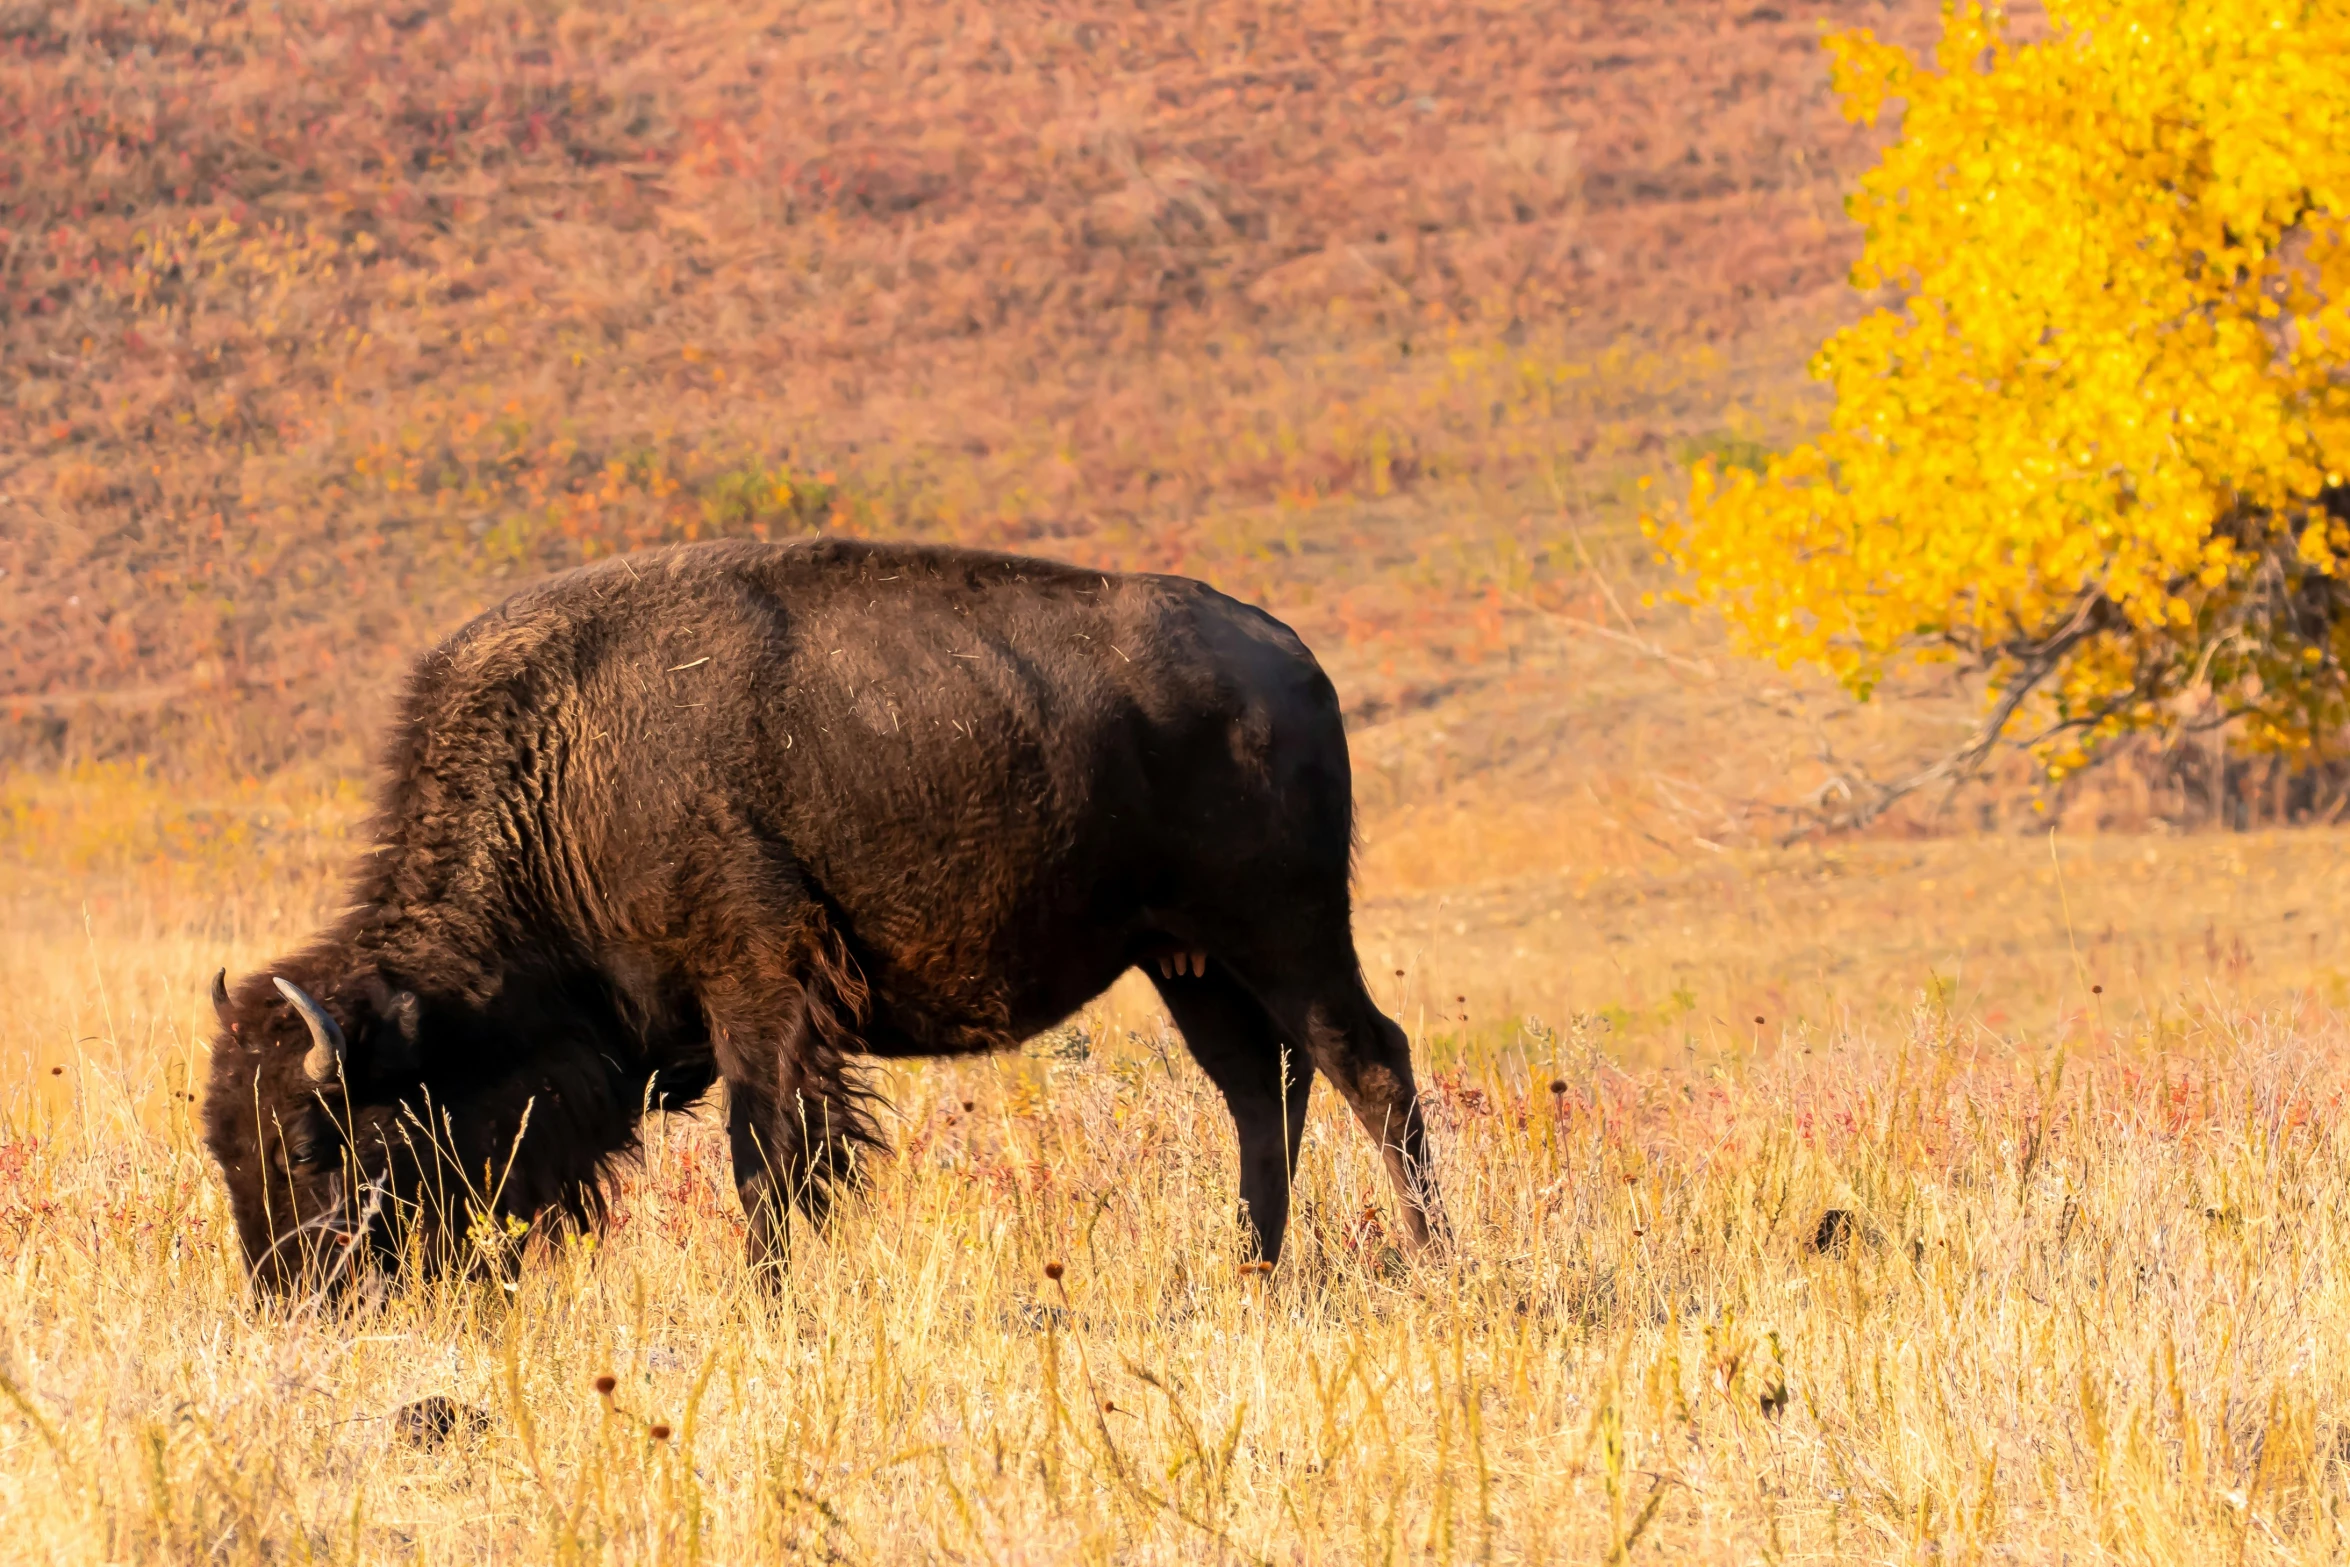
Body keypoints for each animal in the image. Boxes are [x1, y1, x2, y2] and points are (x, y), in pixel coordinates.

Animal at [206, 533, 1447, 1296]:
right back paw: (1252, 1269)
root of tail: (1291, 659)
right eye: (227, 1145)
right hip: (1188, 962)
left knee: (1368, 1065)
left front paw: (768, 1299)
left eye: (317, 1143)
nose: (300, 1301)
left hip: (1283, 932)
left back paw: (1433, 1261)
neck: (566, 769)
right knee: (1261, 1088)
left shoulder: (761, 990)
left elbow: (768, 1161)